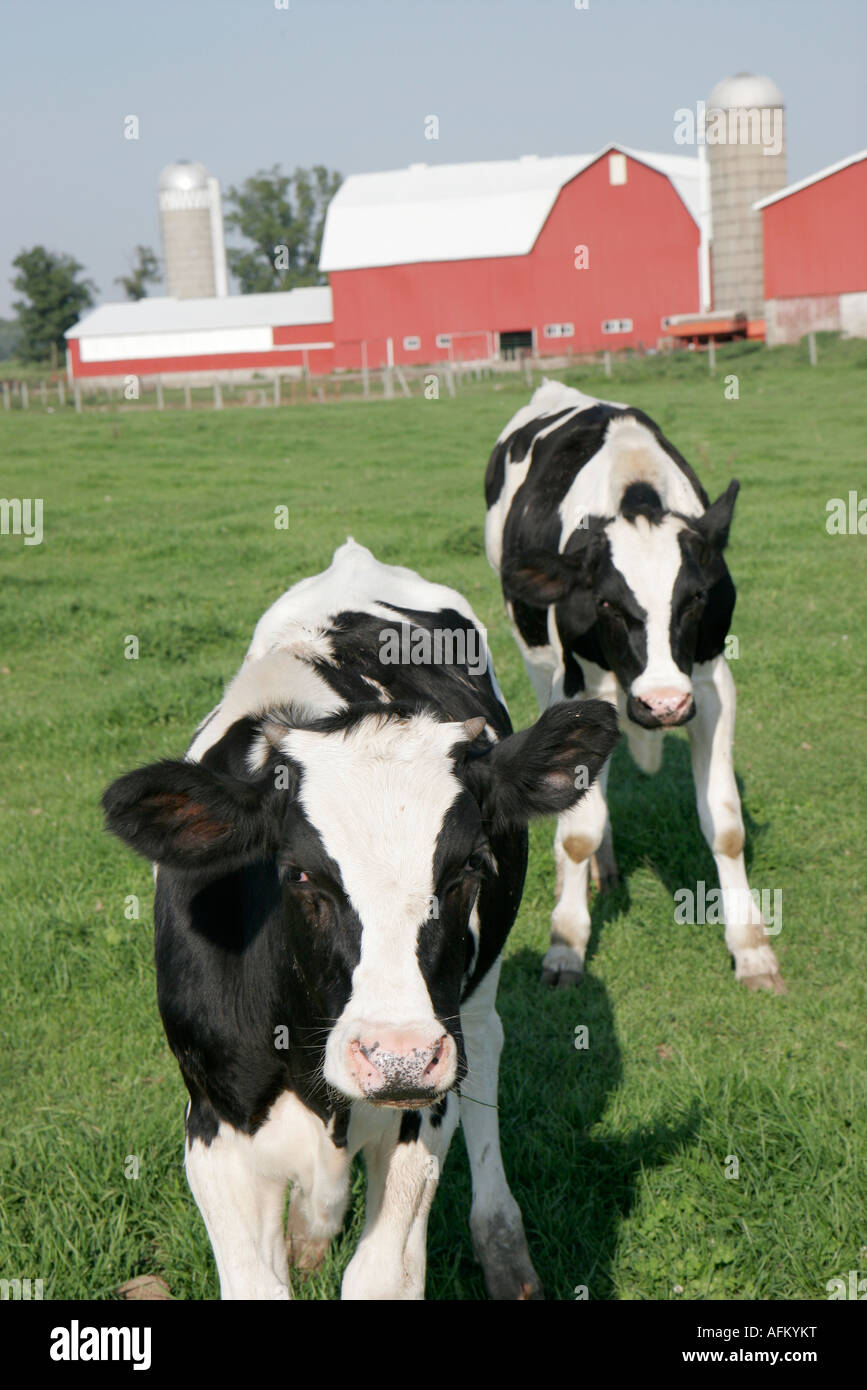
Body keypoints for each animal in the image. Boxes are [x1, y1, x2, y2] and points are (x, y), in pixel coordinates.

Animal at [102, 538, 619, 1300]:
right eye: (299, 875)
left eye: (469, 867)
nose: (397, 1056)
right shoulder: (214, 1129)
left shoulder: (422, 1113)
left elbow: (380, 1275)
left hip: (470, 1002)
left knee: (486, 1045)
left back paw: (503, 1247)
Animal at [484, 380, 784, 995]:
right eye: (606, 603)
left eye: (695, 597)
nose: (664, 704)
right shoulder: (577, 690)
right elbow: (577, 830)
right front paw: (566, 947)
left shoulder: (711, 685)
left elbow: (725, 823)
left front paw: (752, 950)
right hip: (539, 666)